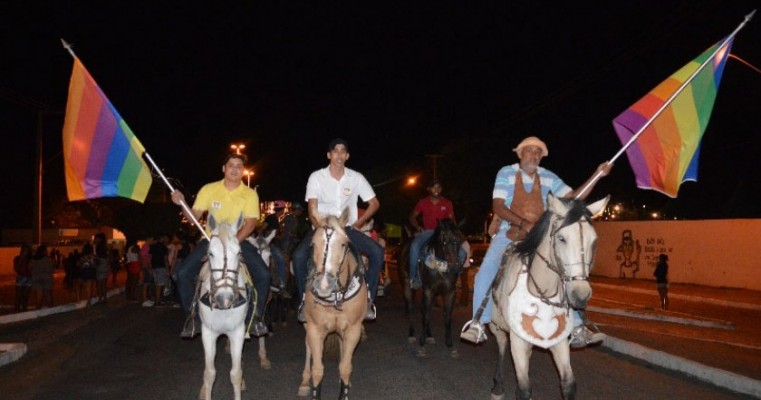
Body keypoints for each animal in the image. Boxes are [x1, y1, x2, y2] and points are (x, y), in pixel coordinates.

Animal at [197, 214, 248, 400]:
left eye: (239, 253)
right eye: (210, 253)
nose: (224, 299)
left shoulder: (238, 331)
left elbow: (236, 373)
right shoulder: (208, 332)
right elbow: (209, 373)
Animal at [298, 211, 366, 398]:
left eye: (343, 243)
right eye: (313, 244)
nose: (323, 285)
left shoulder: (353, 329)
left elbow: (345, 367)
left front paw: (345, 390)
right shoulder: (314, 328)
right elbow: (317, 370)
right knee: (307, 347)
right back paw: (304, 382)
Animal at [398, 220, 464, 358]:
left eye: (459, 240)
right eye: (444, 240)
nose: (455, 268)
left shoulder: (450, 292)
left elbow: (447, 317)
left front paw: (450, 345)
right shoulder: (428, 290)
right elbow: (427, 316)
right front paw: (421, 345)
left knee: (423, 309)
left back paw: (429, 335)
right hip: (407, 284)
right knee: (411, 308)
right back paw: (412, 334)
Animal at [490, 192, 608, 398]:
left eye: (594, 240)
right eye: (561, 238)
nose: (580, 295)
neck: (542, 290)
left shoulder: (559, 341)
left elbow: (568, 384)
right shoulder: (517, 341)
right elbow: (524, 389)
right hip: (496, 327)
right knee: (502, 345)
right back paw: (497, 385)